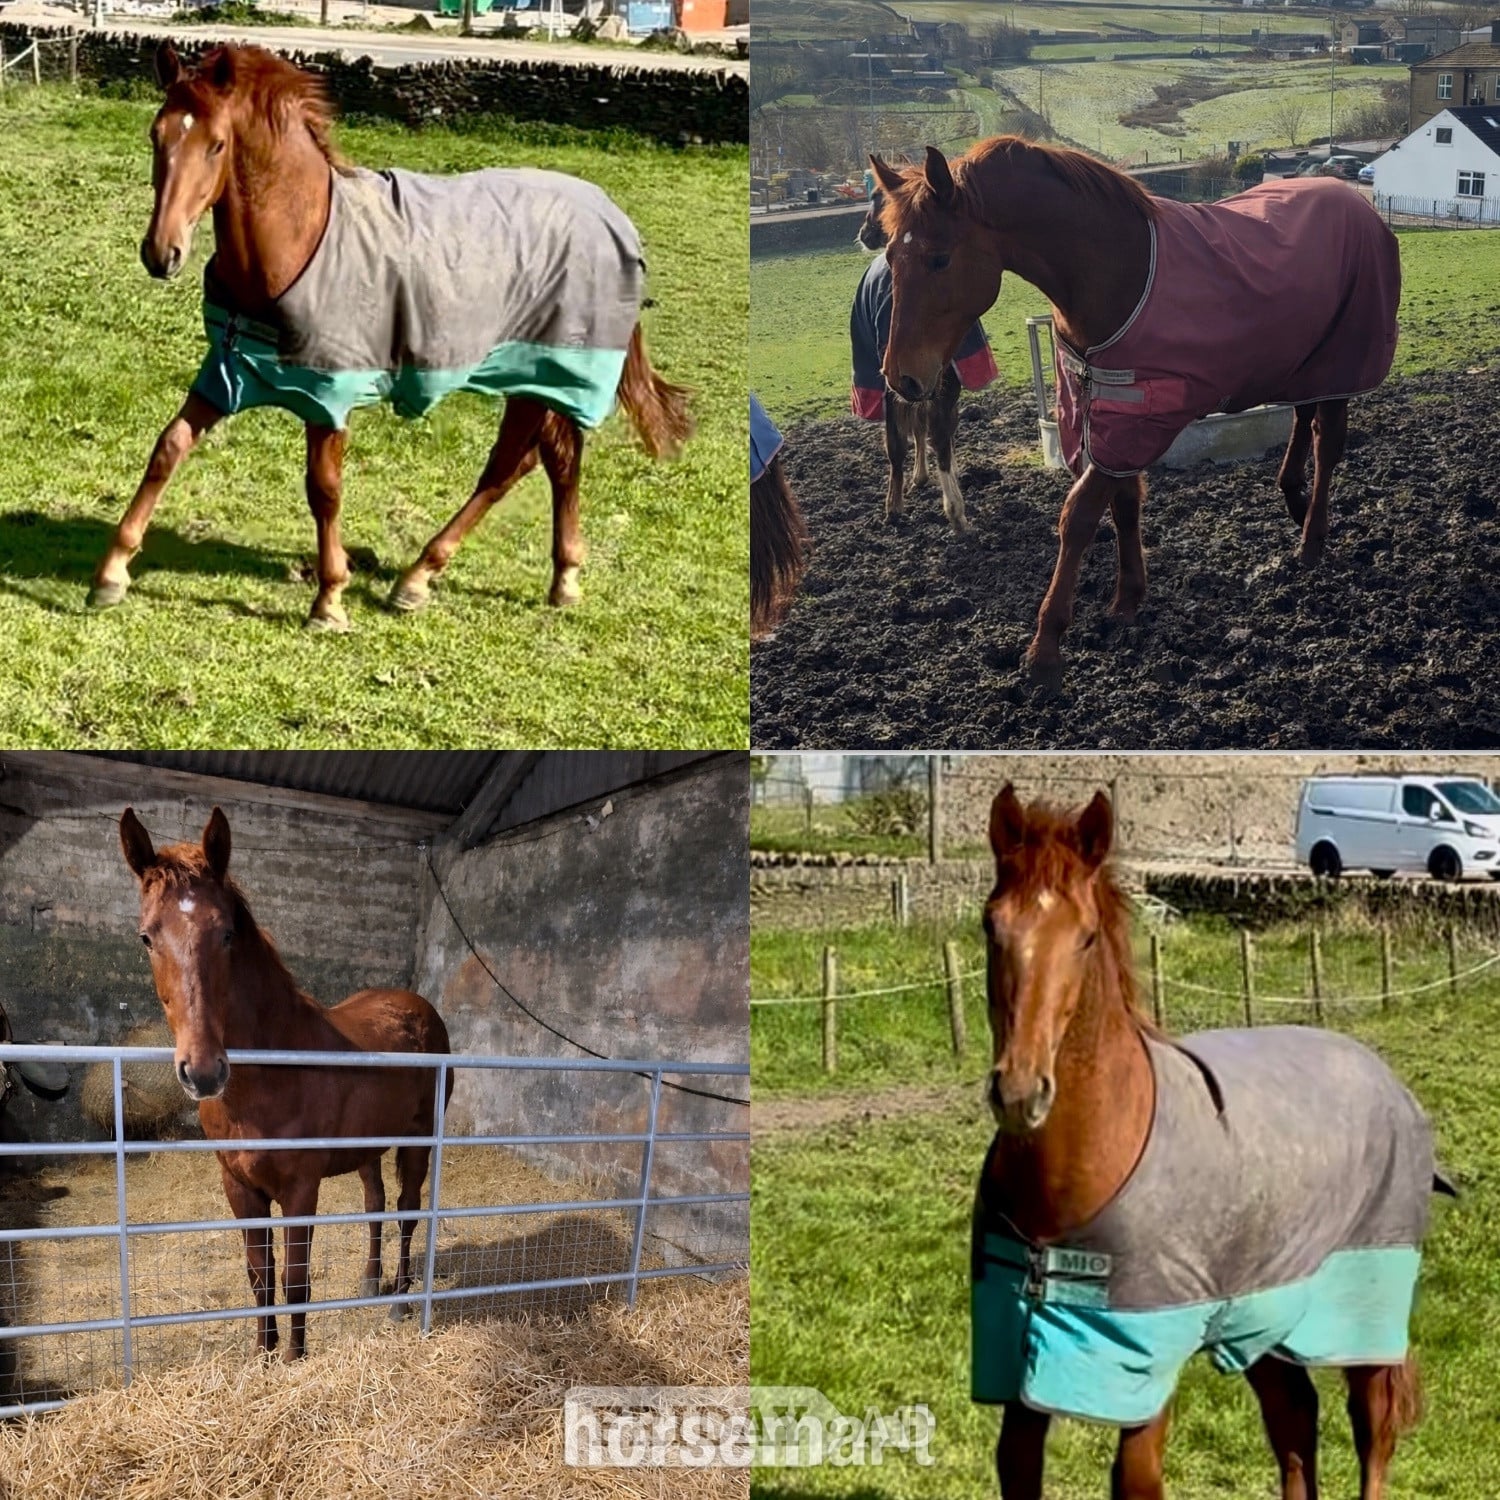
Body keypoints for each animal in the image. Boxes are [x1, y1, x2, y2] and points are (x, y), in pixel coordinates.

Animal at [91, 42, 693, 629]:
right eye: (156, 135)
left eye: (217, 144)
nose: (161, 252)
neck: (297, 241)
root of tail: (612, 216)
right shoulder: (227, 374)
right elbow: (168, 447)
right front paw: (112, 572)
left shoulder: (327, 394)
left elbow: (324, 488)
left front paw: (329, 600)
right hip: (538, 380)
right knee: (552, 461)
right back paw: (555, 578)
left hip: (543, 373)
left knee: (508, 467)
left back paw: (421, 578)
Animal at [118, 805, 453, 1361]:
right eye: (147, 937)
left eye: (226, 933)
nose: (203, 1071)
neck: (267, 1079)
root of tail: (420, 1006)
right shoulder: (240, 1188)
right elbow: (261, 1278)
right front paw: (265, 1356)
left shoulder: (300, 1188)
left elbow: (295, 1281)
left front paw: (294, 1360)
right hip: (369, 1148)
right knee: (375, 1203)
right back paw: (370, 1282)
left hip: (417, 1140)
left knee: (407, 1211)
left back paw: (400, 1301)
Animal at [853, 189, 998, 533]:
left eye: (875, 198)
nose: (865, 233)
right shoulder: (917, 384)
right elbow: (922, 436)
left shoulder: (916, 383)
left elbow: (919, 436)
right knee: (929, 432)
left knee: (915, 436)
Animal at [871, 141, 1400, 682]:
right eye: (889, 255)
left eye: (939, 259)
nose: (899, 377)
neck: (1115, 273)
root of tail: (1353, 199)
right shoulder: (1108, 416)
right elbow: (1124, 505)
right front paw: (1127, 599)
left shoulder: (1137, 419)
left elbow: (1080, 516)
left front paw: (1046, 646)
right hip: (1304, 363)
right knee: (1302, 420)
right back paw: (1293, 498)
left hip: (1341, 363)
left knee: (1327, 444)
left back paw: (1312, 540)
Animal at [974, 783, 1450, 1500]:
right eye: (990, 925)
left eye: (1086, 938)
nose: (1021, 1091)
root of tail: (1383, 1075)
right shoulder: (1023, 1361)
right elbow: (1017, 1465)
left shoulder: (1146, 1357)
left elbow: (1137, 1479)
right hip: (1267, 1312)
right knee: (1294, 1419)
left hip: (1362, 1310)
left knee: (1373, 1429)